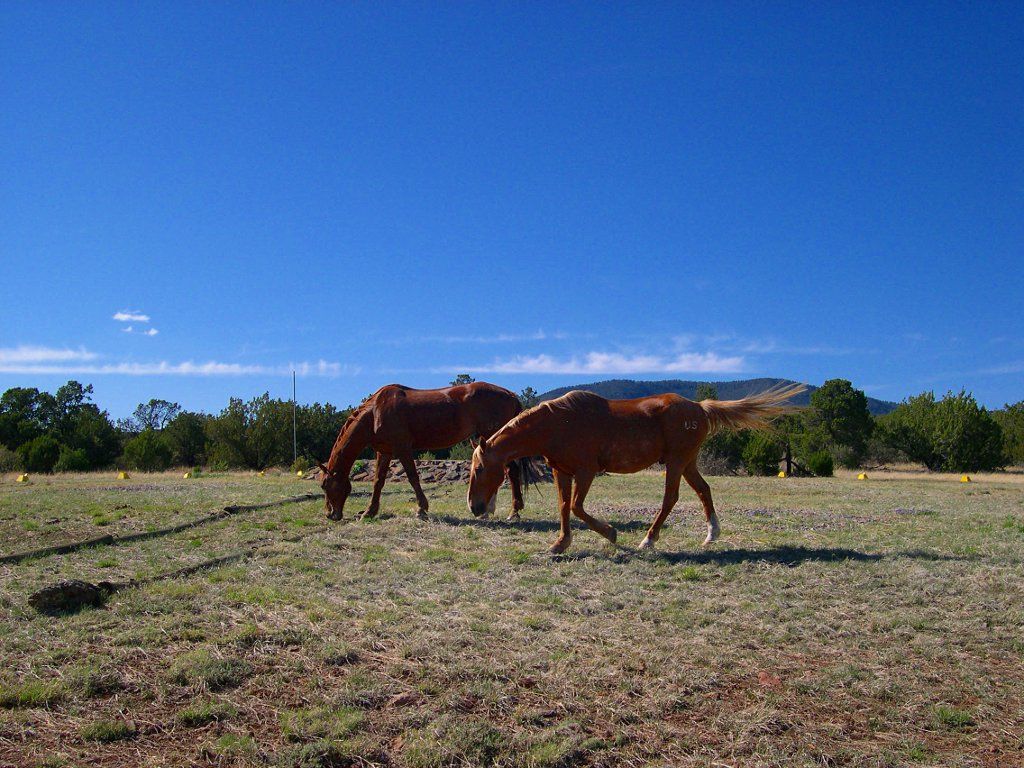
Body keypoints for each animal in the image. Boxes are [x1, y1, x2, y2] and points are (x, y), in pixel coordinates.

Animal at [319, 382, 528, 524]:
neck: (376, 411)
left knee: (512, 472)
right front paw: (368, 512)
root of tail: (510, 394)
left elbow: (413, 477)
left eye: (324, 486)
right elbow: (378, 481)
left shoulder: (402, 449)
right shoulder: (384, 452)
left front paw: (422, 509)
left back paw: (514, 512)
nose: (330, 514)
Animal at [468, 385, 802, 552]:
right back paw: (711, 535)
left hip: (677, 462)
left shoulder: (586, 472)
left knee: (671, 499)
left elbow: (576, 507)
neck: (558, 423)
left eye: (480, 469)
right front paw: (560, 544)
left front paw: (611, 534)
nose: (474, 507)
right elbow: (564, 507)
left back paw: (649, 540)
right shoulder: (562, 471)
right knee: (704, 491)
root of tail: (700, 408)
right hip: (688, 462)